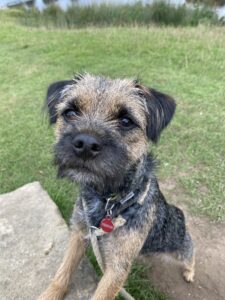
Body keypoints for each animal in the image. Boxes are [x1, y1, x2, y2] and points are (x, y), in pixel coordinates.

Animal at [37, 74, 194, 300]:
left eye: (126, 121)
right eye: (70, 112)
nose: (85, 144)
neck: (108, 200)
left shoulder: (117, 268)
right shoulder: (79, 234)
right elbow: (63, 271)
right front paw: (50, 294)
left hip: (179, 245)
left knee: (190, 252)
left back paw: (190, 272)